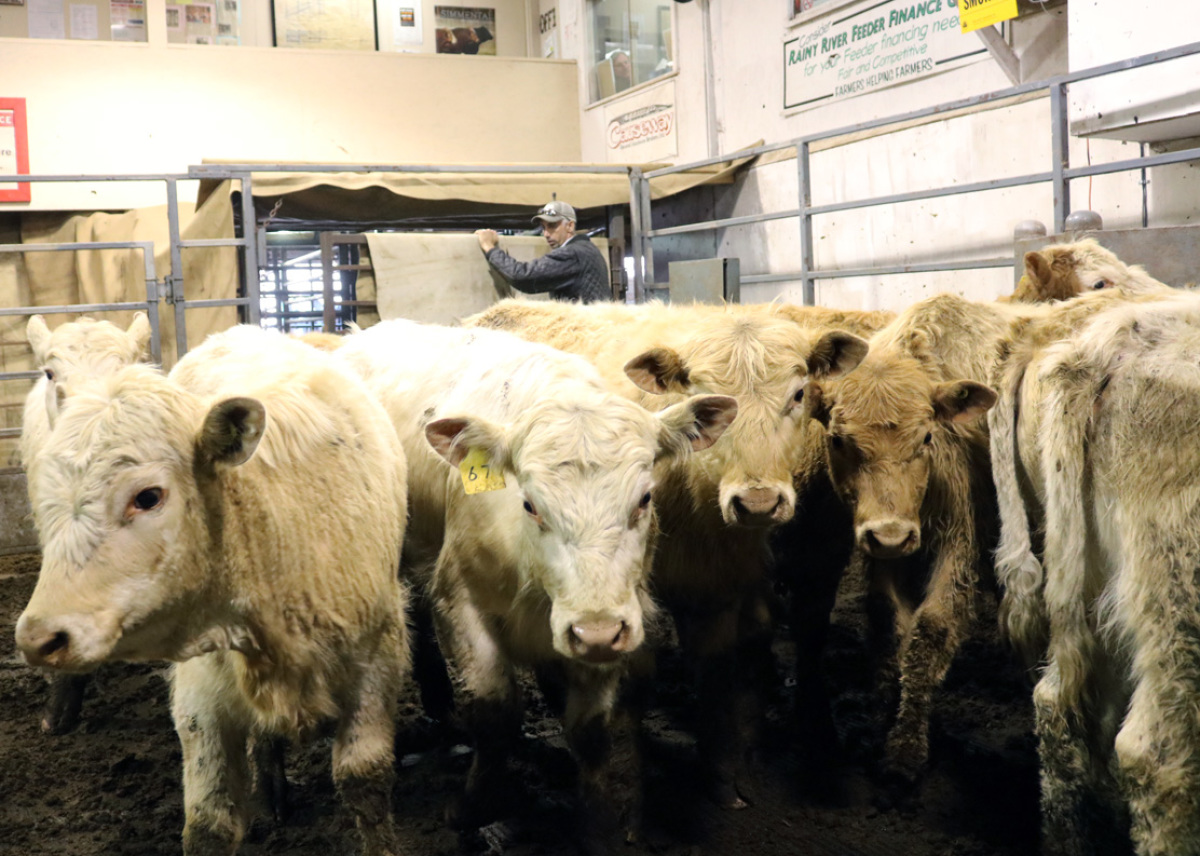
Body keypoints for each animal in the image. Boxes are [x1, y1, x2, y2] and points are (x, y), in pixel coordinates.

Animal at [332, 319, 737, 843]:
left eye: (645, 498)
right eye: (530, 504)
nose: (594, 633)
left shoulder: (613, 615)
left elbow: (592, 729)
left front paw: (600, 825)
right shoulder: (458, 599)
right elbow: (493, 708)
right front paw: (473, 805)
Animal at [466, 299, 870, 806]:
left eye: (798, 394)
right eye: (705, 400)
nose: (757, 502)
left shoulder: (772, 575)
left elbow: (749, 659)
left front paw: (756, 761)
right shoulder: (670, 590)